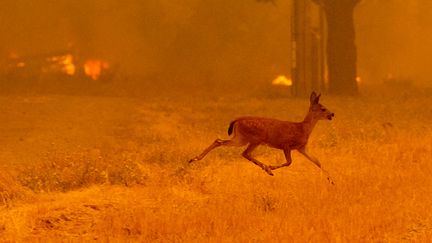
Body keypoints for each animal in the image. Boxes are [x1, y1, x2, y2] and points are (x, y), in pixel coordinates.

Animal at [188, 91, 334, 182]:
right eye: (323, 108)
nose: (332, 114)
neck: (303, 128)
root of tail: (236, 120)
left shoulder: (302, 148)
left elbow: (318, 162)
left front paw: (331, 180)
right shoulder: (286, 144)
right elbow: (289, 162)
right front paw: (271, 167)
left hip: (240, 138)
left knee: (220, 141)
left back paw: (194, 159)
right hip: (254, 138)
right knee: (244, 153)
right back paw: (267, 169)